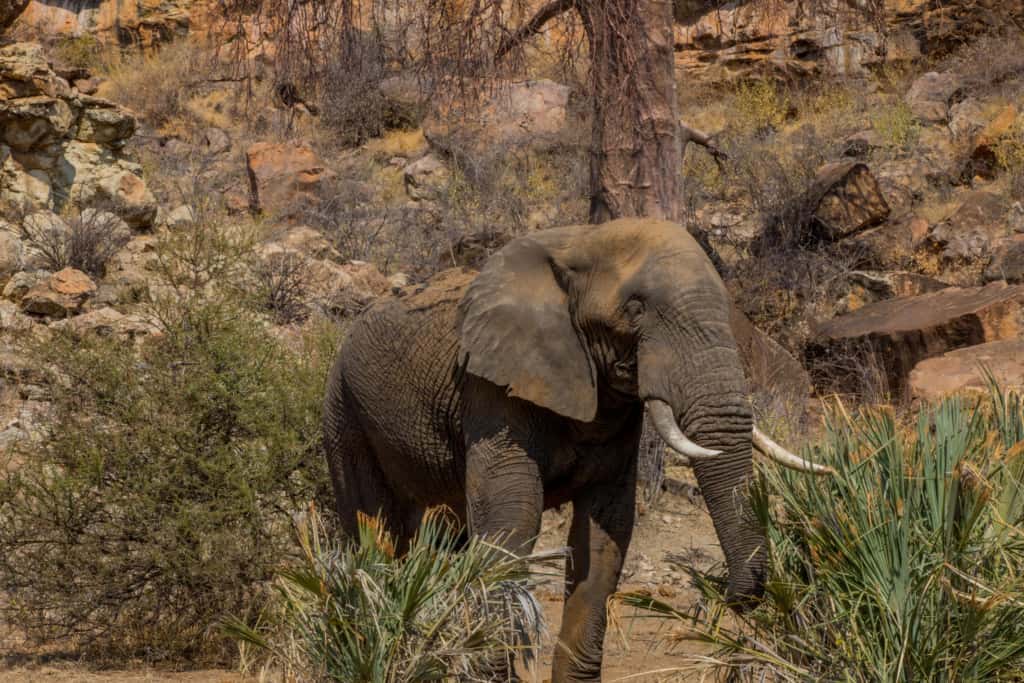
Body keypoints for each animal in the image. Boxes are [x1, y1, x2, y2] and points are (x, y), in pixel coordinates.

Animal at [323, 219, 835, 683]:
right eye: (635, 308)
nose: (727, 594)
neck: (581, 241)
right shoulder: (490, 389)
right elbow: (513, 515)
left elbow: (605, 532)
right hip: (344, 412)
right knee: (374, 531)